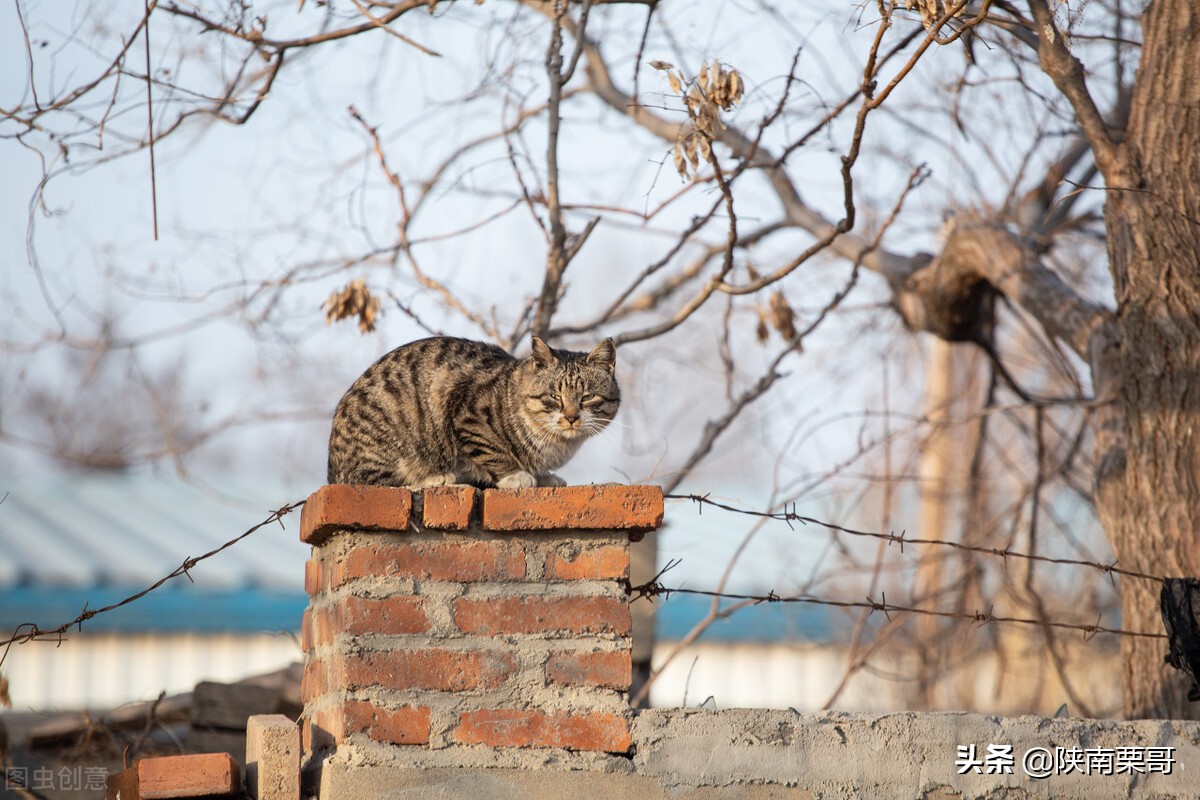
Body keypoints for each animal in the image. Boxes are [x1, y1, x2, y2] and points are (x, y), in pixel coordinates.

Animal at [328, 335, 619, 489]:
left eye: (587, 397)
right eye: (555, 397)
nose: (571, 417)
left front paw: (544, 476)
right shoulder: (466, 412)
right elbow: (493, 450)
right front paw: (516, 475)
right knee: (374, 481)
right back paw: (435, 477)